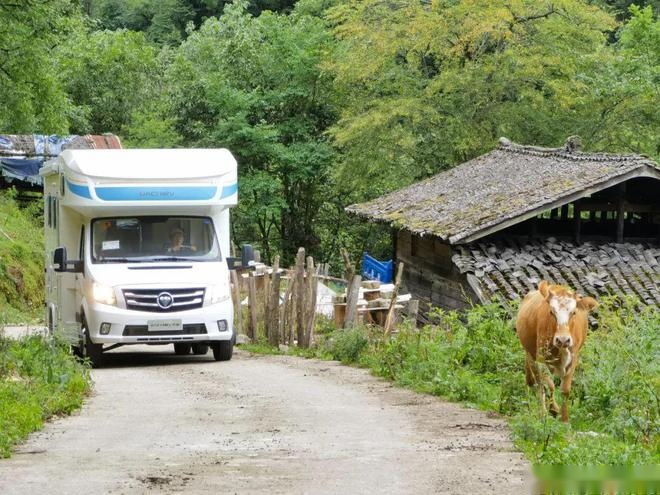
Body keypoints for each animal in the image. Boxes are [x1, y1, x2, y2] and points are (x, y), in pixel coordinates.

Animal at [516, 280, 600, 424]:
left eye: (573, 312)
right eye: (551, 312)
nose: (563, 340)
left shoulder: (573, 358)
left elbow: (565, 390)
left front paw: (564, 419)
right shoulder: (540, 359)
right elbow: (548, 385)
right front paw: (550, 411)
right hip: (530, 354)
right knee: (536, 382)